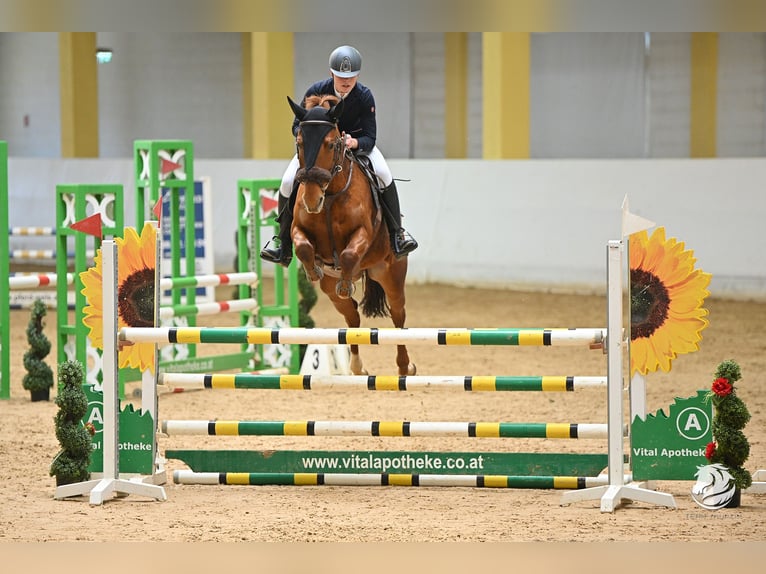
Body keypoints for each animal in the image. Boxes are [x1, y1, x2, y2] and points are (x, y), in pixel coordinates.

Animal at [288, 94, 420, 378]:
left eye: (330, 144)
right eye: (300, 143)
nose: (312, 200)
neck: (330, 195)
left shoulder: (363, 234)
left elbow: (349, 253)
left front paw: (343, 278)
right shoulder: (298, 231)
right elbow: (303, 247)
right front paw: (313, 270)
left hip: (391, 275)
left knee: (398, 316)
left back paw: (405, 366)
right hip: (331, 292)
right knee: (352, 318)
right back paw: (357, 366)